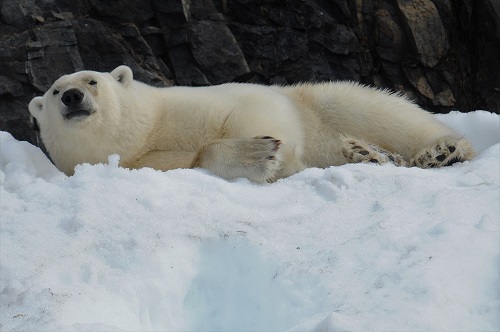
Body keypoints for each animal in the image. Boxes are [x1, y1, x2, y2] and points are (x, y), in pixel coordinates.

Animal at [29, 65, 474, 182]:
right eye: (53, 90)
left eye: (92, 80)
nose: (72, 97)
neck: (147, 132)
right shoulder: (142, 162)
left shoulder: (193, 103)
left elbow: (251, 110)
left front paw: (267, 154)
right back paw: (365, 154)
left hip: (323, 101)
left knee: (379, 111)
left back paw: (443, 150)